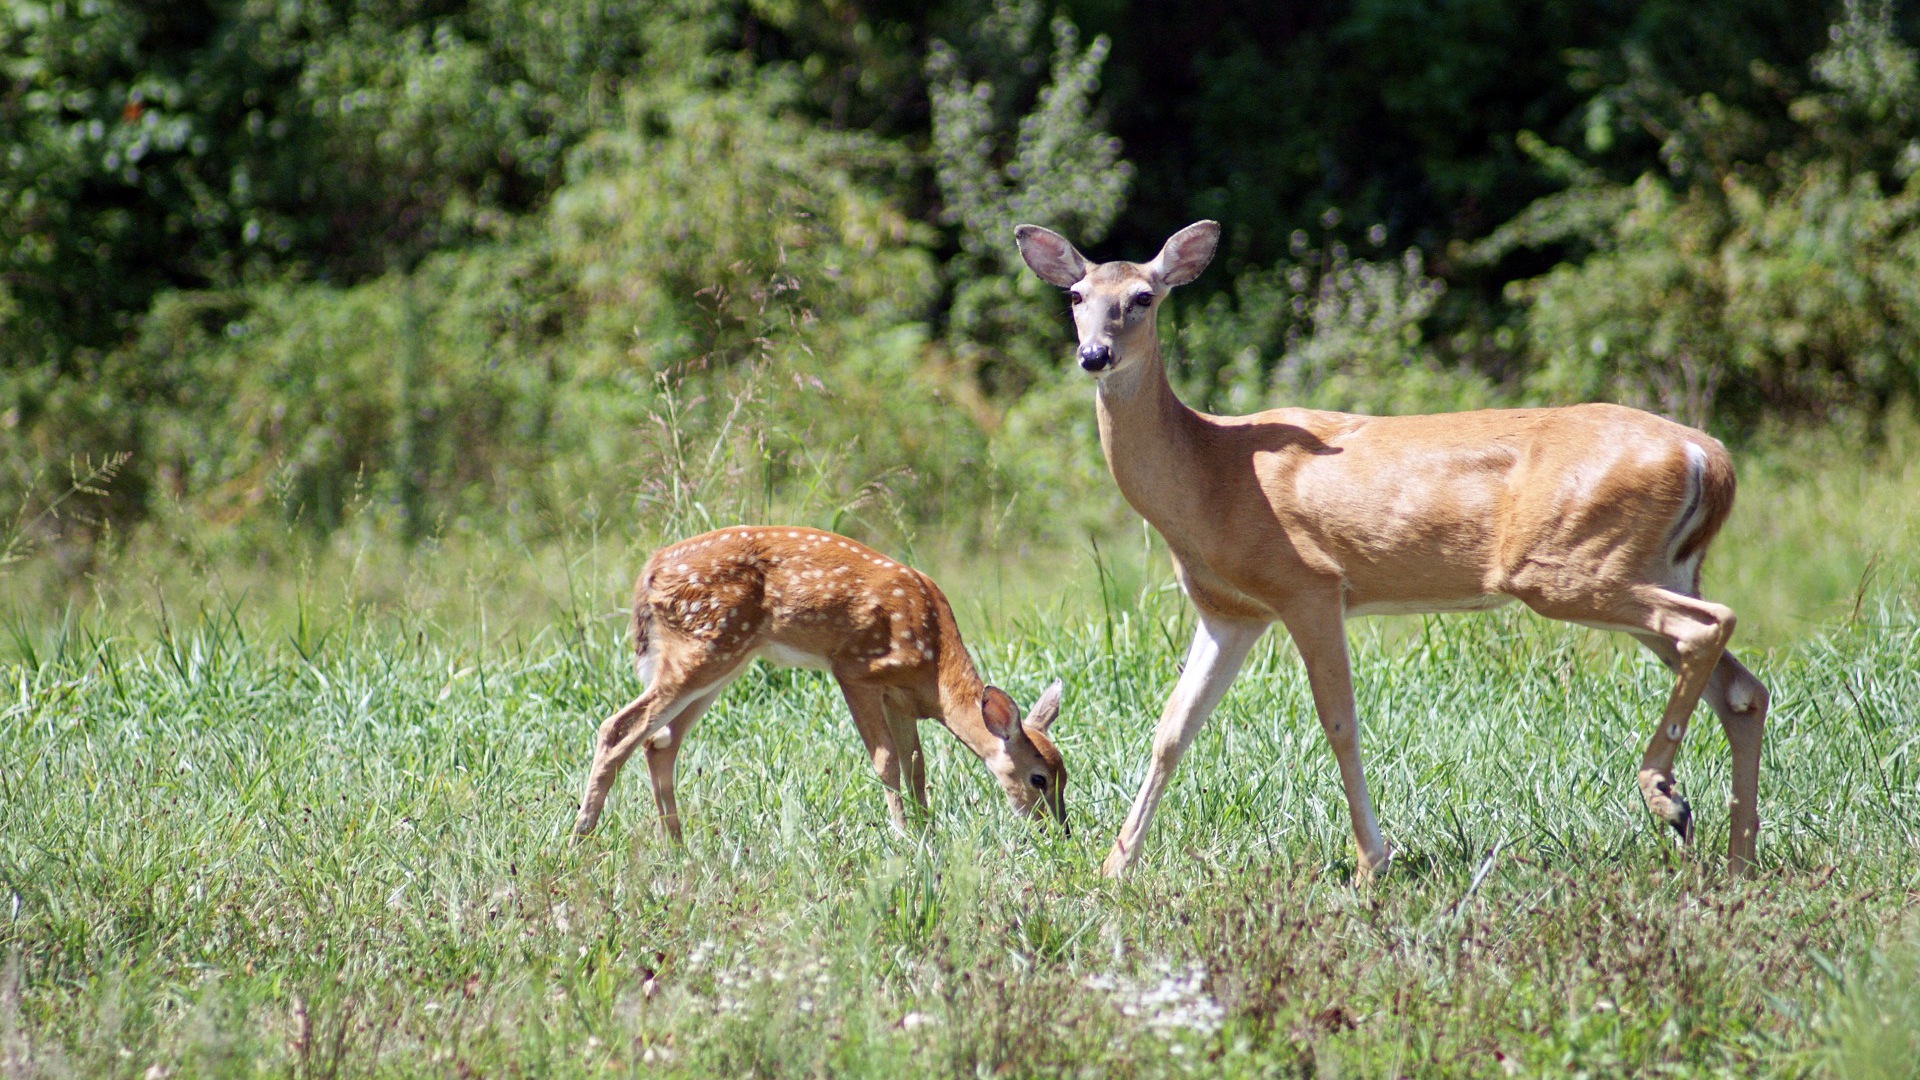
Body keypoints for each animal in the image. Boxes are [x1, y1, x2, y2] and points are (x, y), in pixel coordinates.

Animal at [576, 526, 1075, 837]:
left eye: (1064, 774)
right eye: (1038, 779)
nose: (1060, 831)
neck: (932, 669)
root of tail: (649, 572)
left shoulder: (900, 700)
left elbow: (916, 767)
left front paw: (926, 829)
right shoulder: (855, 669)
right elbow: (886, 762)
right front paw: (905, 835)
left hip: (723, 659)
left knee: (660, 742)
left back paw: (676, 846)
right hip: (703, 648)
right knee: (618, 727)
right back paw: (582, 834)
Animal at [1021, 219, 1766, 876]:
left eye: (1144, 297)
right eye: (1076, 296)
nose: (1094, 355)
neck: (1210, 474)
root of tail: (1709, 454)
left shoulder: (1309, 584)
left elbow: (1340, 724)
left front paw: (1371, 864)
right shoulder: (1232, 611)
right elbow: (1172, 729)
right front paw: (1115, 869)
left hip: (1567, 565)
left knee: (1712, 626)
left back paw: (1666, 796)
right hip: (1656, 563)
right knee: (1742, 688)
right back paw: (1737, 861)